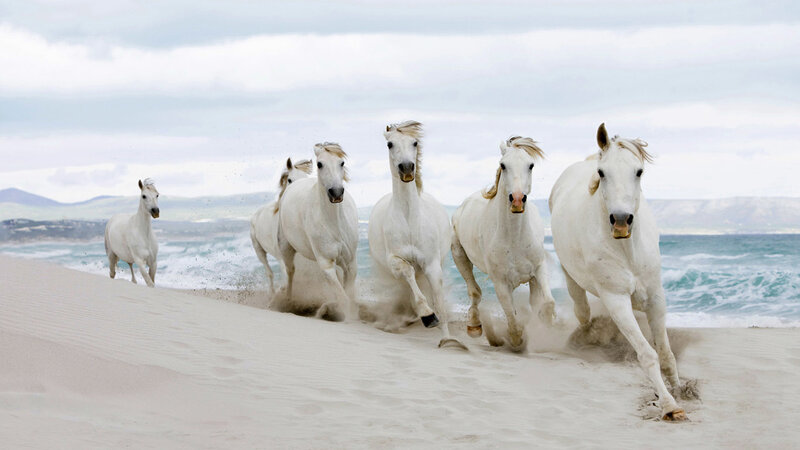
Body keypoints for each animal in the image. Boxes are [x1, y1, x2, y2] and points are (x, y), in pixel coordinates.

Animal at [250, 157, 312, 293]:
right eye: (290, 180)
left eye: (305, 178)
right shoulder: (282, 255)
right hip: (259, 251)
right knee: (269, 273)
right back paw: (273, 294)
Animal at [277, 143, 359, 320]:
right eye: (320, 164)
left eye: (341, 163)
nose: (336, 193)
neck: (335, 224)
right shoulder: (326, 264)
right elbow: (344, 297)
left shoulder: (350, 265)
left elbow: (348, 294)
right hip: (286, 249)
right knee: (290, 273)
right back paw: (288, 302)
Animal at [367, 120, 462, 348]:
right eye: (390, 144)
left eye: (415, 142)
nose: (407, 167)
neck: (410, 220)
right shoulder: (395, 261)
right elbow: (408, 273)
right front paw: (427, 315)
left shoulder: (432, 264)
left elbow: (438, 300)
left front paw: (448, 340)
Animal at [451, 136, 556, 351]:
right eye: (503, 165)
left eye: (531, 165)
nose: (517, 200)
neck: (515, 239)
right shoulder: (500, 282)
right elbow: (512, 316)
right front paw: (516, 340)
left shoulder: (538, 269)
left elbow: (547, 302)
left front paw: (545, 321)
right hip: (459, 255)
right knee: (474, 291)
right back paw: (474, 326)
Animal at [549, 123, 686, 421]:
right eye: (602, 173)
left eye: (639, 171)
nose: (621, 221)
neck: (627, 251)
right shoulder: (616, 300)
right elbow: (648, 355)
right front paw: (669, 406)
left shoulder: (656, 297)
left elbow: (666, 353)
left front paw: (681, 391)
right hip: (573, 280)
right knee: (582, 312)